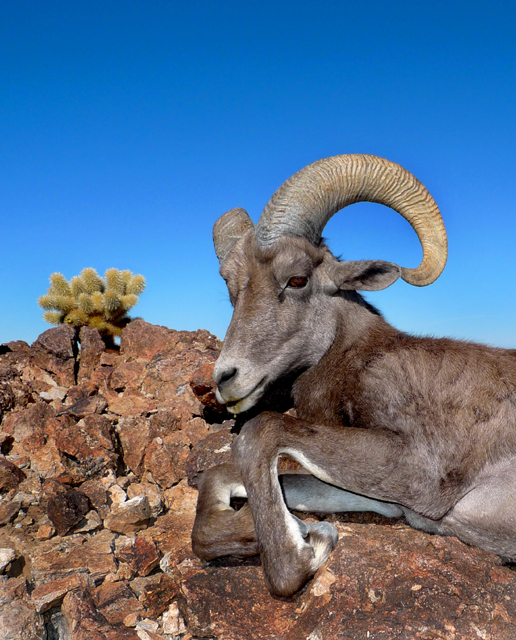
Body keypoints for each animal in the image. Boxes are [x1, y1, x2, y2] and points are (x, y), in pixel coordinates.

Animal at [190, 154, 516, 596]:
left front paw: (306, 551)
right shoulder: (387, 500)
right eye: (231, 287)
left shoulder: (419, 474)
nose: (226, 378)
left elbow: (260, 432)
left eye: (297, 279)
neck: (364, 360)